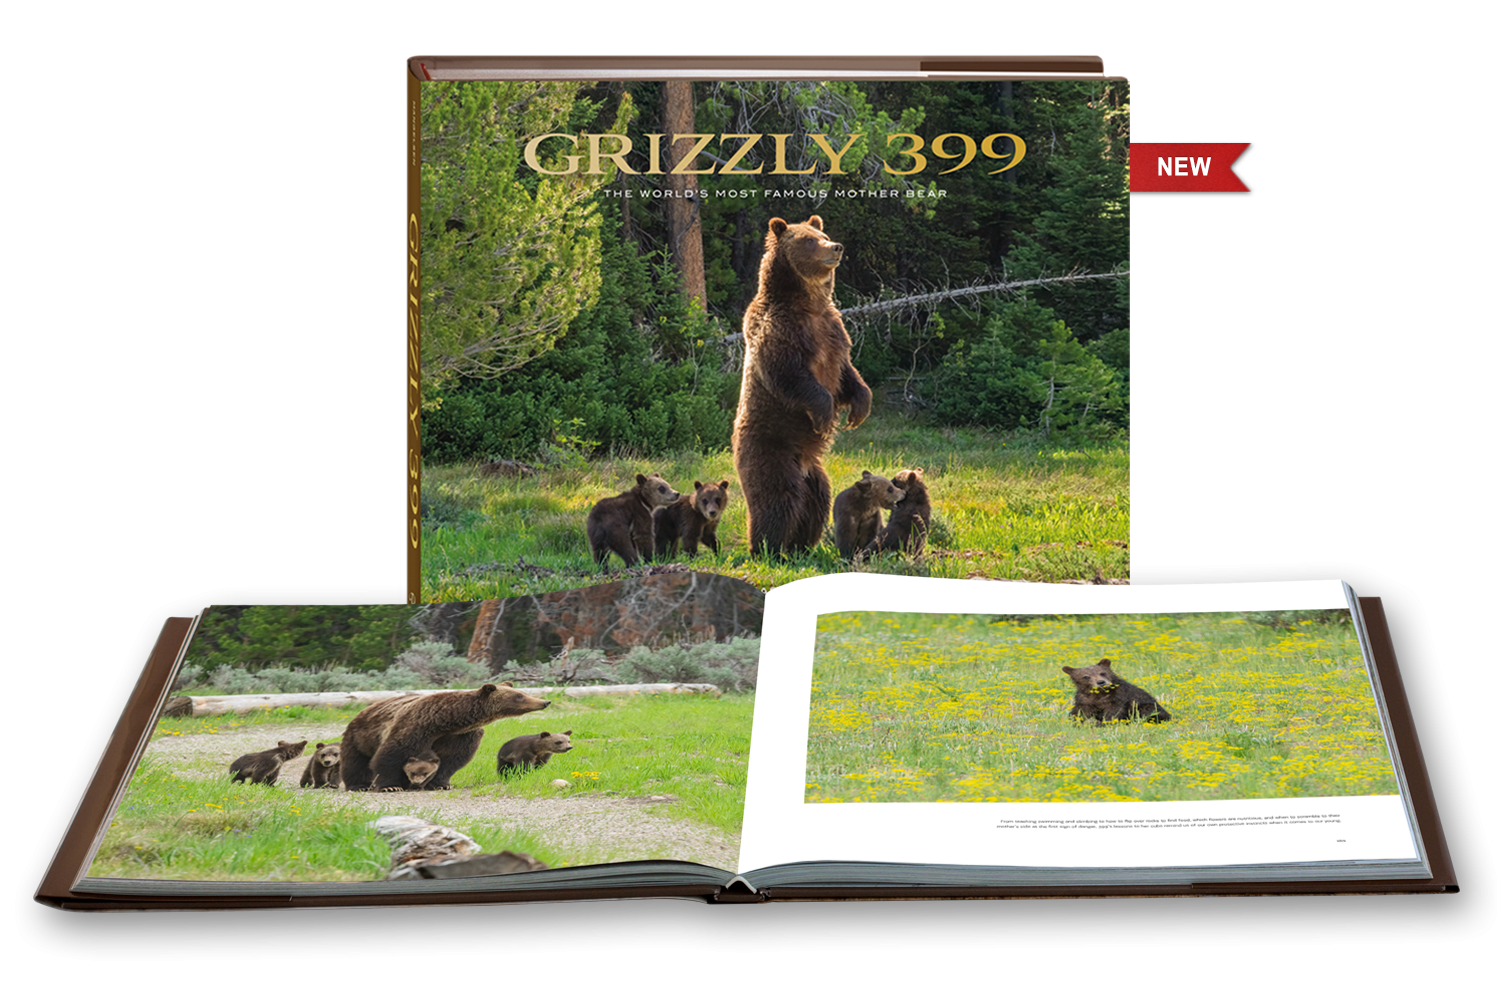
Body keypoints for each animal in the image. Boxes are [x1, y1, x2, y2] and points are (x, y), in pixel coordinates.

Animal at [338, 683, 551, 792]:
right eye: (520, 696)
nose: (545, 701)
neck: (445, 721)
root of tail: (364, 710)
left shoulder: (461, 735)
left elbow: (451, 760)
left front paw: (440, 784)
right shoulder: (415, 725)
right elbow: (392, 753)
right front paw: (390, 786)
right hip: (360, 736)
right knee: (355, 761)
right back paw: (360, 785)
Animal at [732, 216, 871, 557]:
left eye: (823, 233)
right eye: (809, 240)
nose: (836, 247)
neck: (808, 303)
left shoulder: (833, 331)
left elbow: (848, 374)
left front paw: (859, 410)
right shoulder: (779, 330)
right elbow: (791, 375)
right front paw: (825, 415)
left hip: (814, 472)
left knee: (816, 500)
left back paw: (801, 546)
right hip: (769, 448)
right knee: (777, 497)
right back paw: (766, 548)